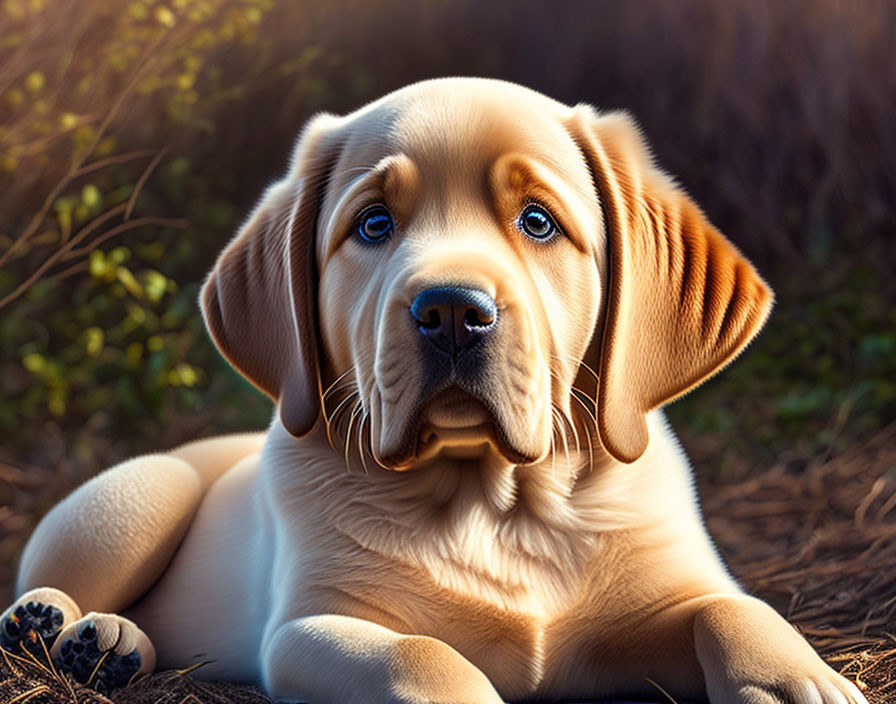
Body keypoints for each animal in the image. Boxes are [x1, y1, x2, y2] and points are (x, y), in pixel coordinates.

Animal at [3, 78, 864, 704]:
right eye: (374, 225)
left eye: (539, 221)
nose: (451, 311)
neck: (499, 507)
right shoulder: (315, 626)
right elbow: (423, 657)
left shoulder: (658, 605)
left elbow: (735, 606)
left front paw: (800, 680)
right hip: (140, 495)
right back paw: (54, 624)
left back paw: (110, 647)